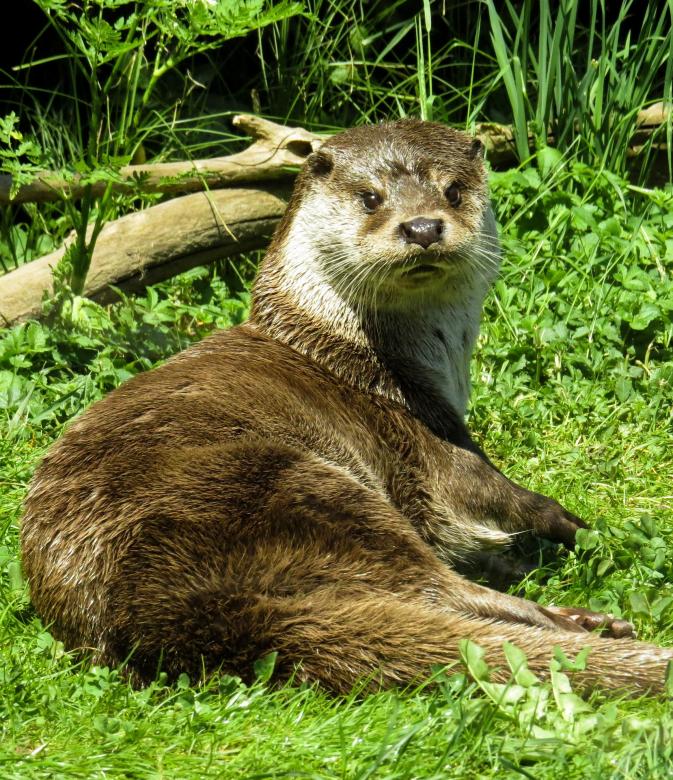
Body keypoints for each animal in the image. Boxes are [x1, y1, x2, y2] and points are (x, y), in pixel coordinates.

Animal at [21, 120, 672, 694]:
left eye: (453, 190)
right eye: (370, 198)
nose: (422, 226)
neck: (351, 353)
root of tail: (164, 604)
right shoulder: (429, 442)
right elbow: (492, 498)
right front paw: (580, 525)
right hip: (295, 484)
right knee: (440, 587)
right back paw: (589, 622)